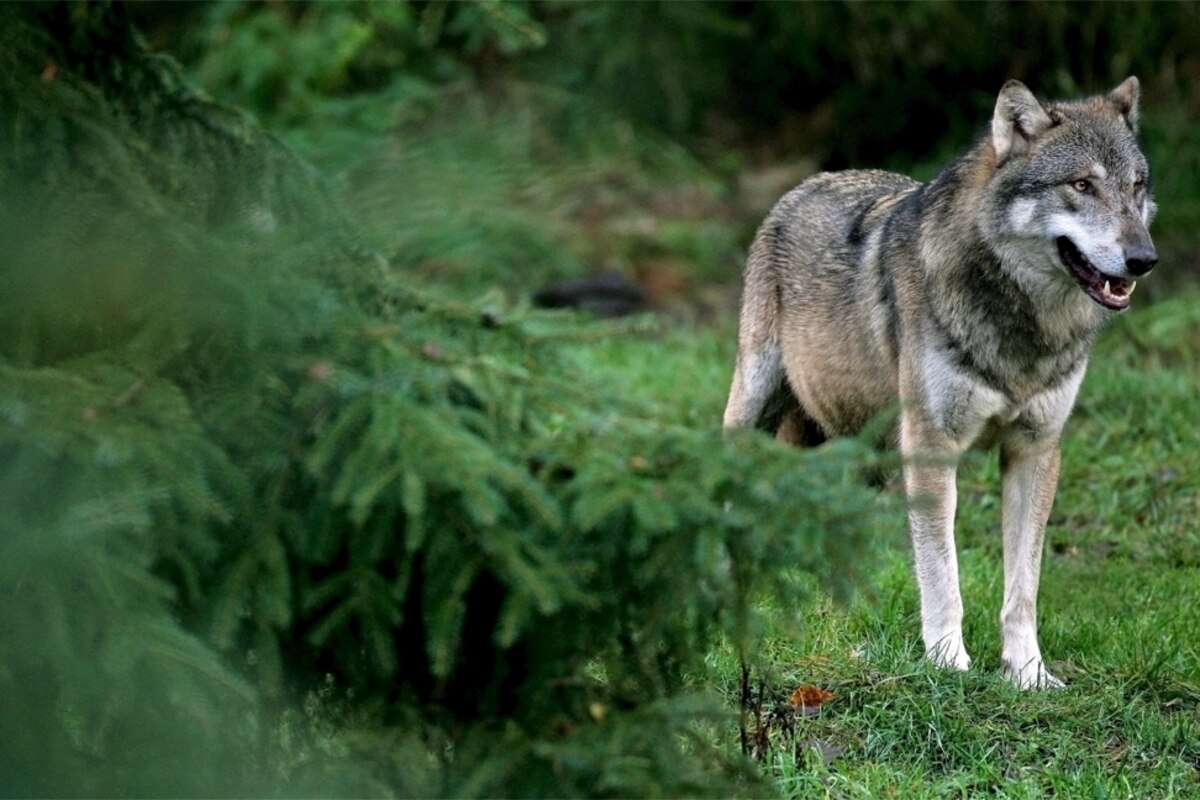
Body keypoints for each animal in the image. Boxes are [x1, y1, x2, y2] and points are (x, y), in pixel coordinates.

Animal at [723, 78, 1157, 689]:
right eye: (1081, 185)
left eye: (1136, 187)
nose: (1145, 259)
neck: (1022, 330)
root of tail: (809, 182)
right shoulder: (931, 449)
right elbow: (941, 574)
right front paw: (948, 663)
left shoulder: (1035, 451)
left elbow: (1023, 587)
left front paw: (1028, 673)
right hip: (757, 408)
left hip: (861, 456)